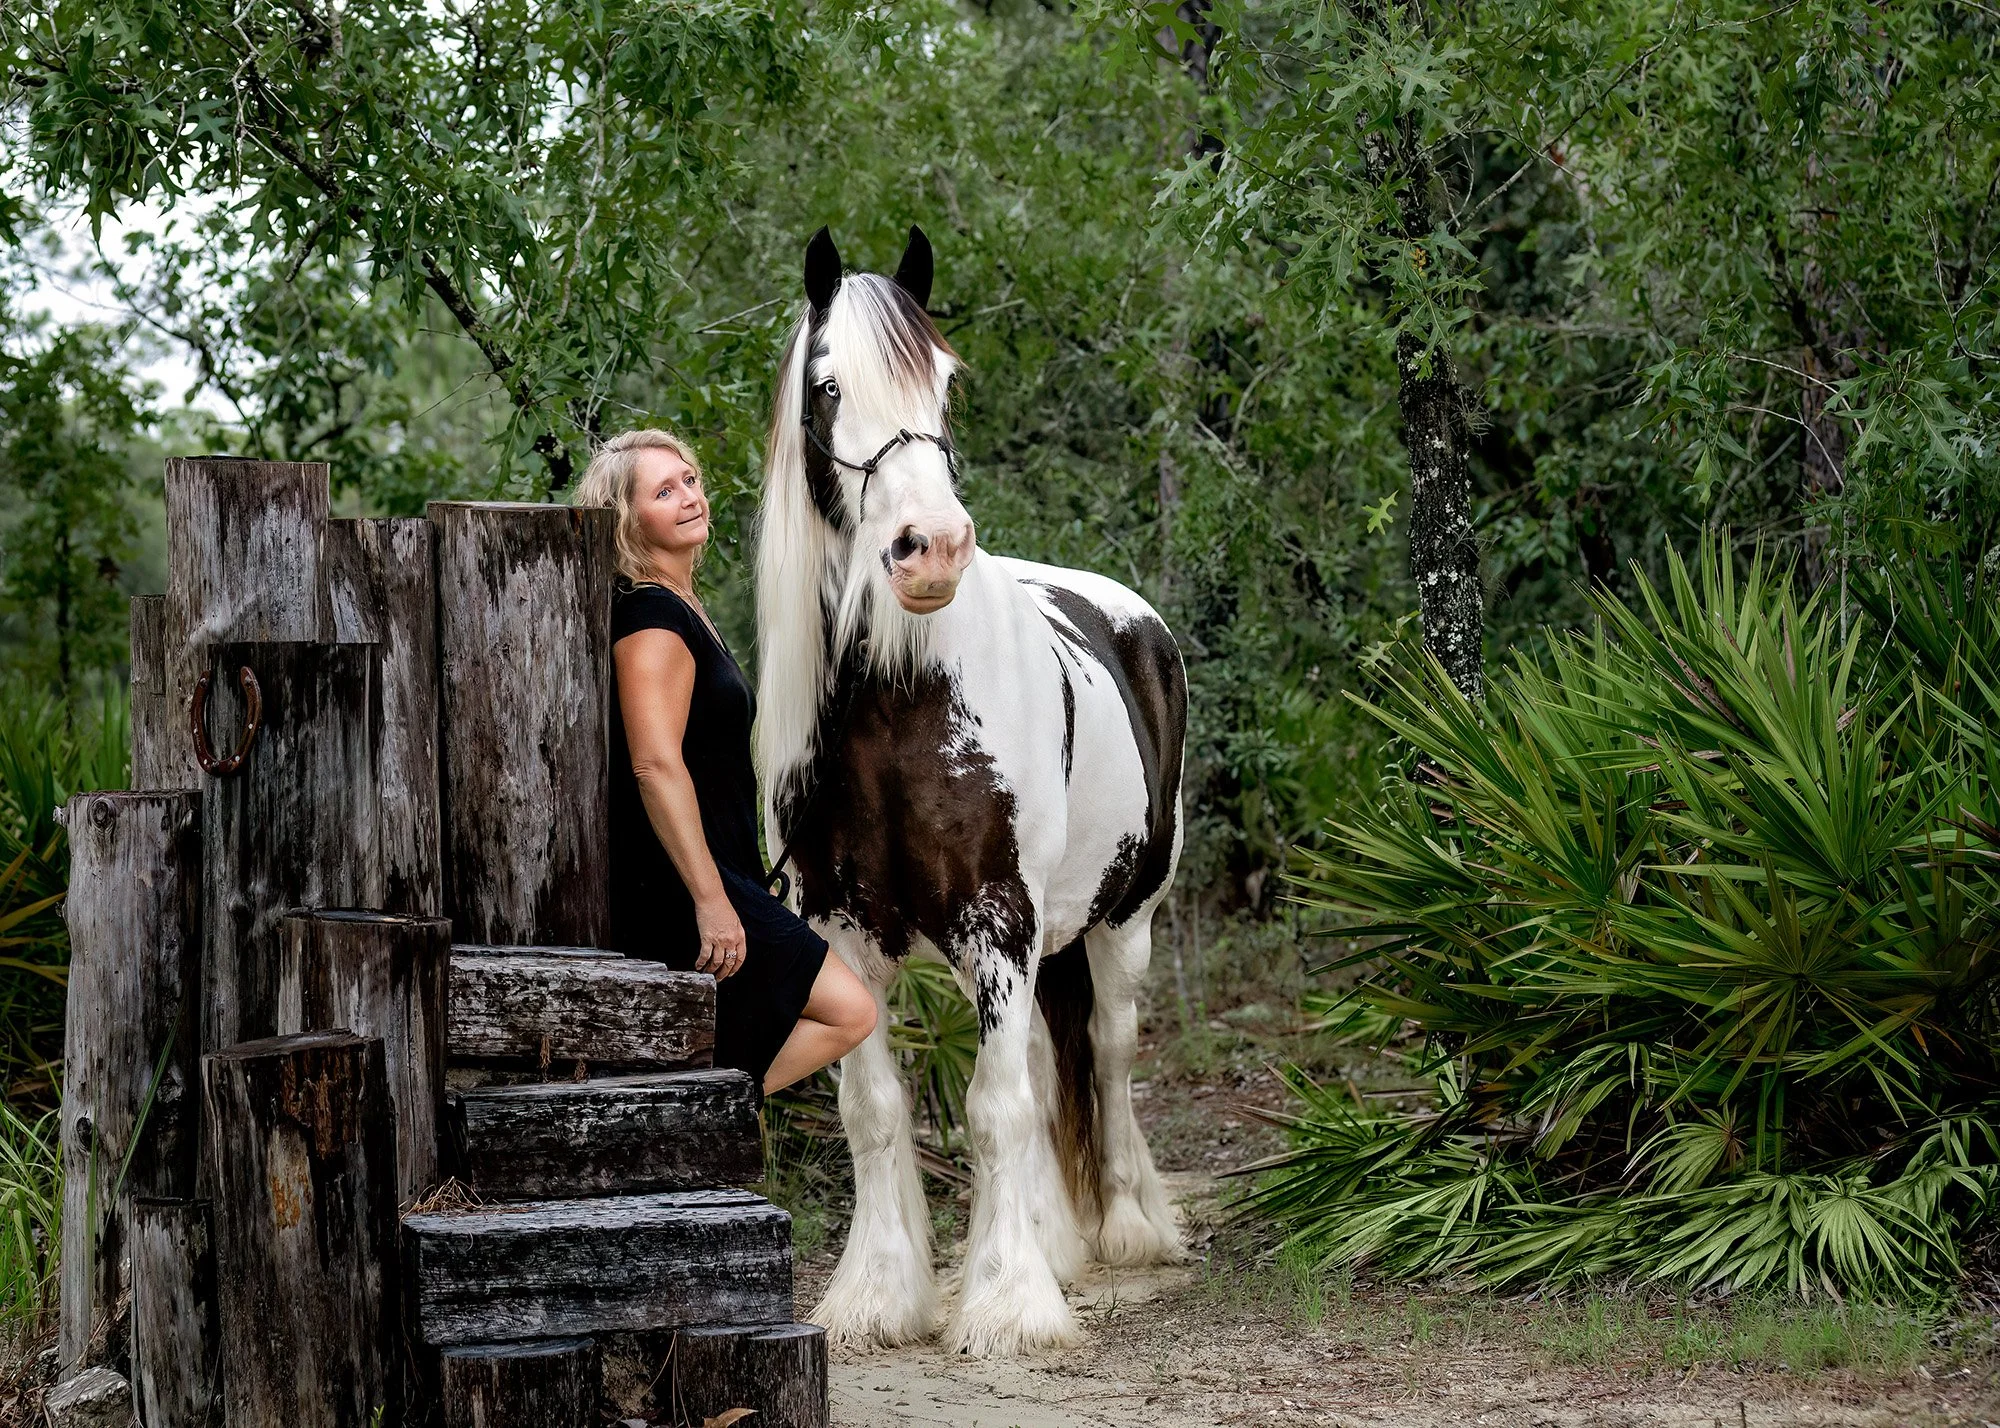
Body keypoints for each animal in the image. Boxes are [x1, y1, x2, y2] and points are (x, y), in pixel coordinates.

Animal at [755, 224, 1187, 1355]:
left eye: (944, 380)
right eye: (827, 386)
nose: (931, 550)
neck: (898, 706)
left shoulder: (997, 922)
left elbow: (996, 1108)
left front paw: (1008, 1303)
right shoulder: (843, 931)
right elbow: (877, 1110)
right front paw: (878, 1296)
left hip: (1120, 923)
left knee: (1106, 1056)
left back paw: (1126, 1226)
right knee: (1041, 1062)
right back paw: (1057, 1238)